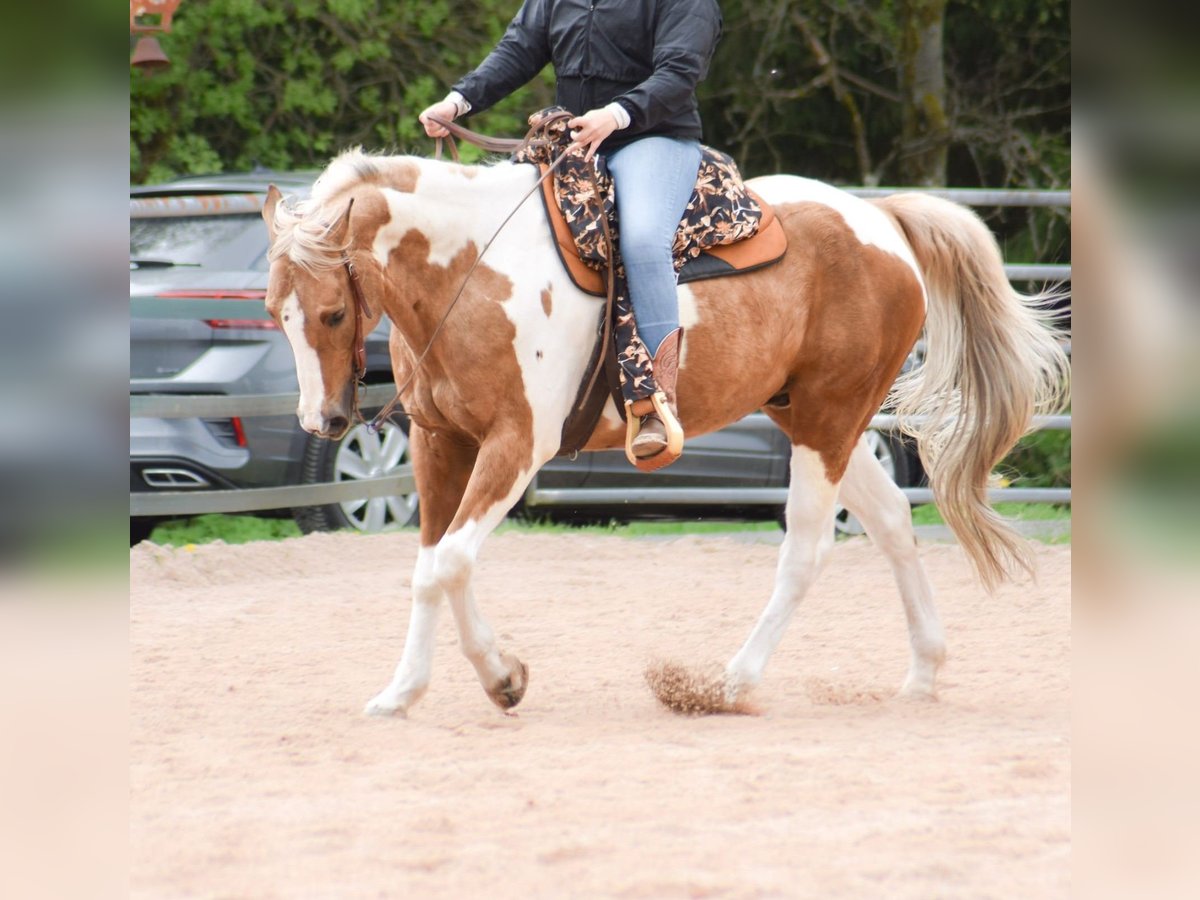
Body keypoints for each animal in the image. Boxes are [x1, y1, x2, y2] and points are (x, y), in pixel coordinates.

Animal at [262, 151, 1070, 724]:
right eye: (276, 312)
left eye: (333, 313)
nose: (322, 422)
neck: (474, 270)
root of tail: (884, 222)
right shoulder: (440, 445)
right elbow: (432, 565)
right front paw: (424, 688)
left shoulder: (517, 446)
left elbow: (447, 564)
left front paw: (490, 678)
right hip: (815, 418)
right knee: (895, 521)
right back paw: (923, 672)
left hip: (830, 420)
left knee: (808, 548)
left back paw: (727, 685)